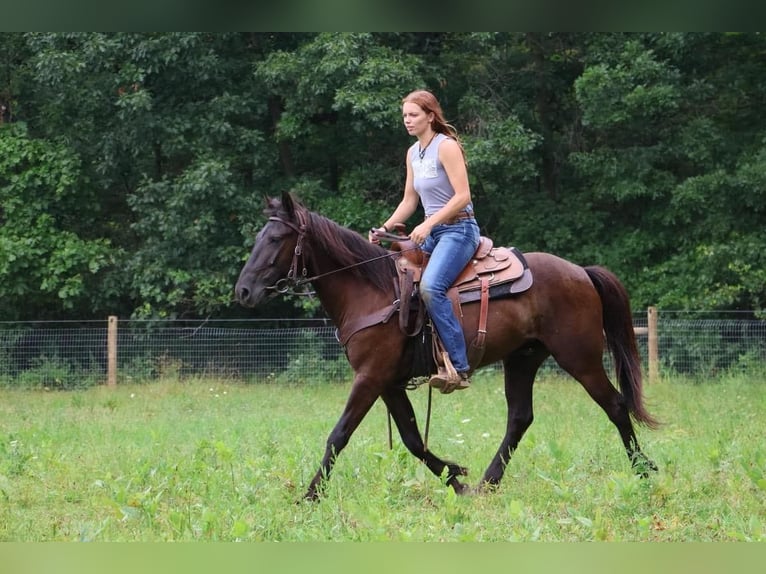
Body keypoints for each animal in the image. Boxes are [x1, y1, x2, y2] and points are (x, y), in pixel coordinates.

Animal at [235, 191, 658, 501]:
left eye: (276, 239)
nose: (243, 291)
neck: (372, 291)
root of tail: (581, 272)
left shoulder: (370, 378)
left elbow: (339, 434)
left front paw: (310, 495)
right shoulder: (388, 382)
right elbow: (411, 439)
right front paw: (456, 478)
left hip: (580, 358)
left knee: (616, 405)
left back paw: (645, 471)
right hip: (522, 359)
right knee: (520, 418)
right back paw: (487, 484)